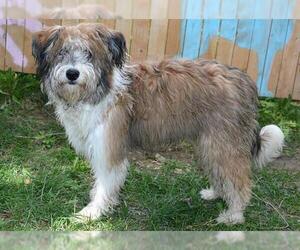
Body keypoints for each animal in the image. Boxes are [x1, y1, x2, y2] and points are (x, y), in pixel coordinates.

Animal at [31, 23, 284, 225]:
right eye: (62, 53)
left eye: (89, 54)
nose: (72, 74)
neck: (97, 92)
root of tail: (244, 81)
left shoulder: (109, 148)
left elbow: (104, 185)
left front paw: (91, 213)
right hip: (210, 143)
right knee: (221, 172)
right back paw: (215, 194)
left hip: (224, 143)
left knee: (239, 180)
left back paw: (234, 215)